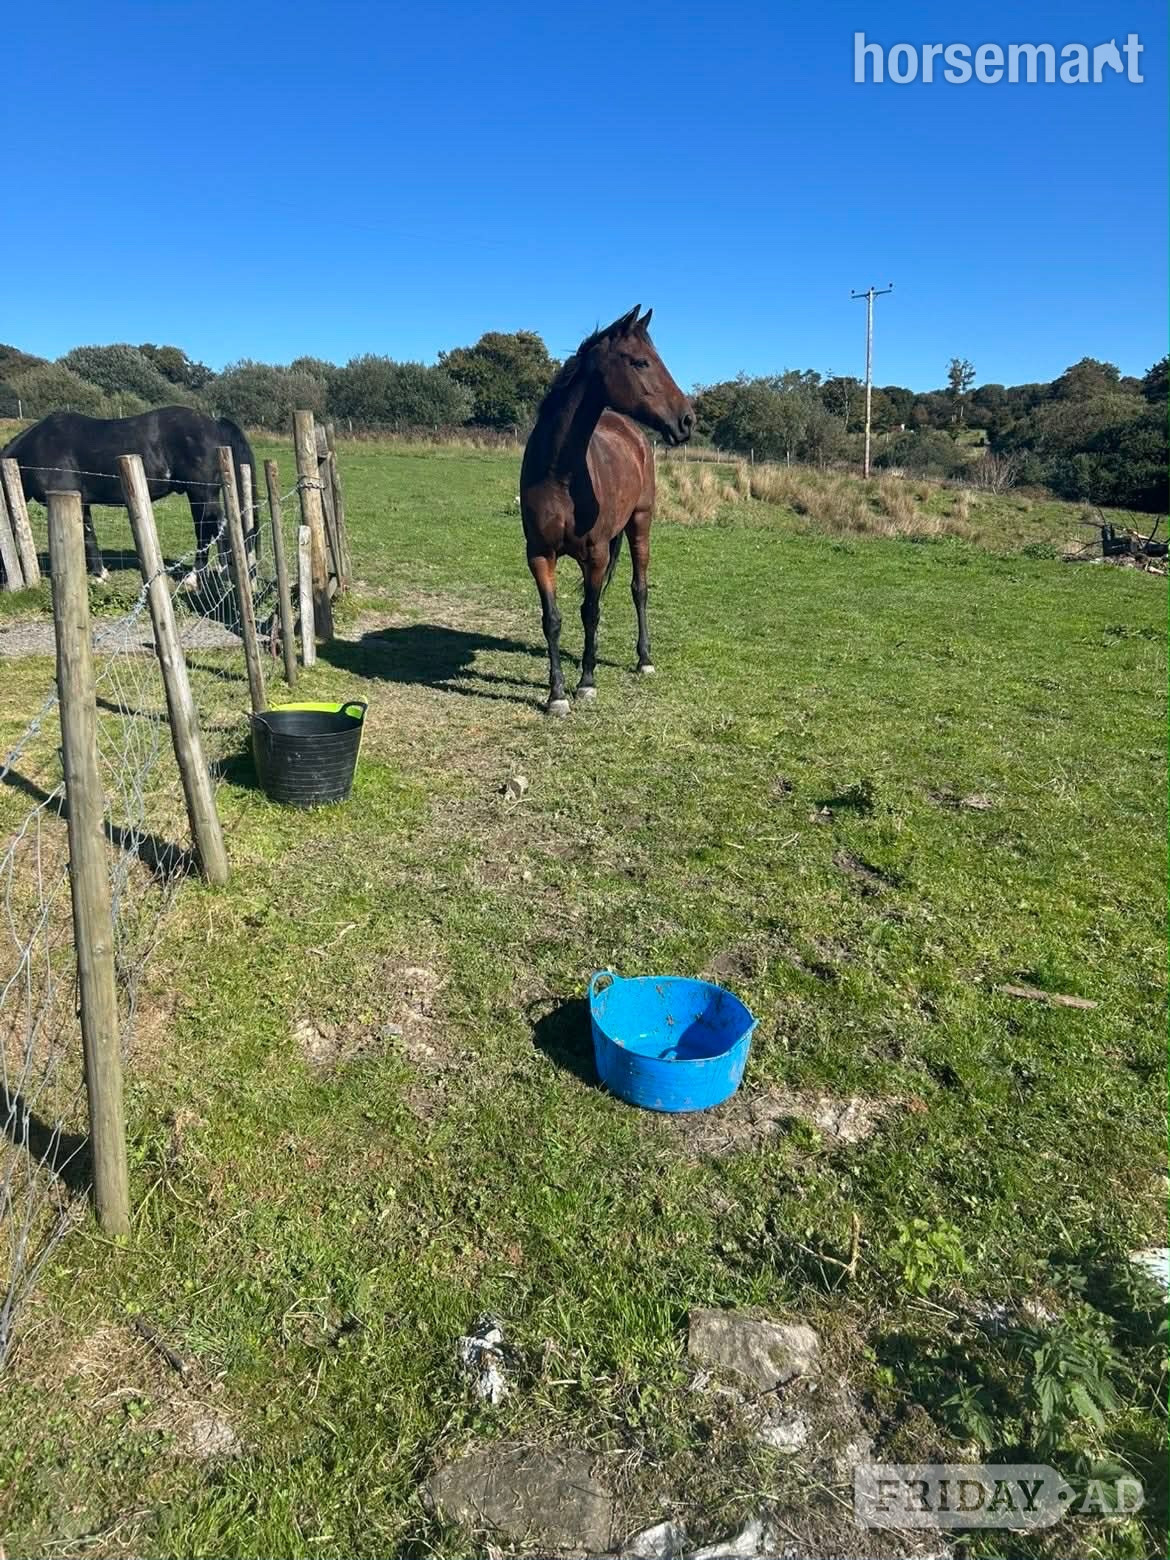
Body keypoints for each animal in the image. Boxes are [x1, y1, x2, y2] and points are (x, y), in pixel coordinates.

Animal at [1, 406, 258, 582]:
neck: (36, 447)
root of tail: (213, 422)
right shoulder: (81, 503)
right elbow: (89, 536)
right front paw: (100, 573)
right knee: (207, 529)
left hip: (202, 493)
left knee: (212, 528)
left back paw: (204, 576)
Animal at [519, 306, 694, 715]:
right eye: (641, 362)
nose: (687, 420)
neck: (560, 475)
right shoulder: (539, 554)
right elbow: (553, 619)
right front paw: (556, 695)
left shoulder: (596, 554)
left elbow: (591, 612)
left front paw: (586, 683)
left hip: (640, 523)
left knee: (638, 589)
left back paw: (643, 659)